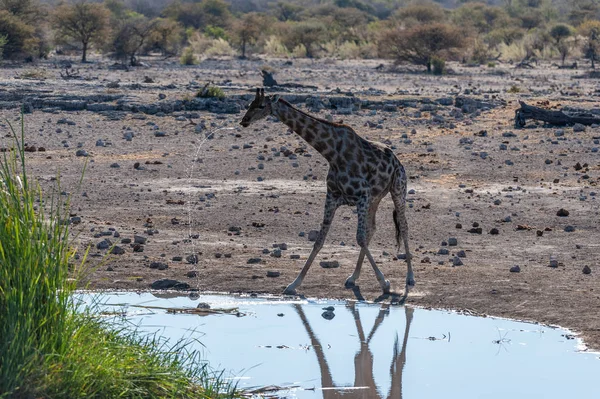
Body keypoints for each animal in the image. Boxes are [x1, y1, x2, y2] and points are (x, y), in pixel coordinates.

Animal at [239, 90, 412, 296]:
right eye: (250, 103)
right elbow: (320, 240)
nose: (244, 120)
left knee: (403, 226)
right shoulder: (333, 197)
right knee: (373, 228)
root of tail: (397, 161)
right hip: (376, 198)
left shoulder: (362, 196)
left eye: (261, 105)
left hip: (398, 189)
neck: (332, 153)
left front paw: (385, 283)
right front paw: (293, 284)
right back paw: (353, 277)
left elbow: (359, 238)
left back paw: (410, 278)